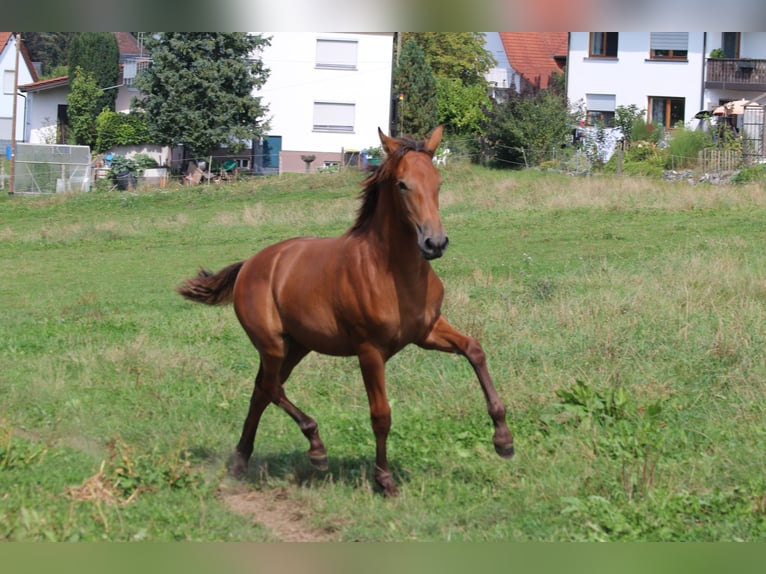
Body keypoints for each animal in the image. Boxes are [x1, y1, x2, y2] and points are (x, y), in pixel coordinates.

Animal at [178, 128, 516, 498]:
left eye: (438, 182)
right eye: (402, 184)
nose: (435, 243)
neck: (391, 272)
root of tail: (250, 264)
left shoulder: (427, 331)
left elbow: (474, 349)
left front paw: (503, 439)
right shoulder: (370, 351)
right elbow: (380, 414)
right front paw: (384, 480)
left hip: (297, 346)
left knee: (261, 391)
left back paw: (241, 462)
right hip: (272, 344)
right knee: (269, 387)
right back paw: (316, 448)